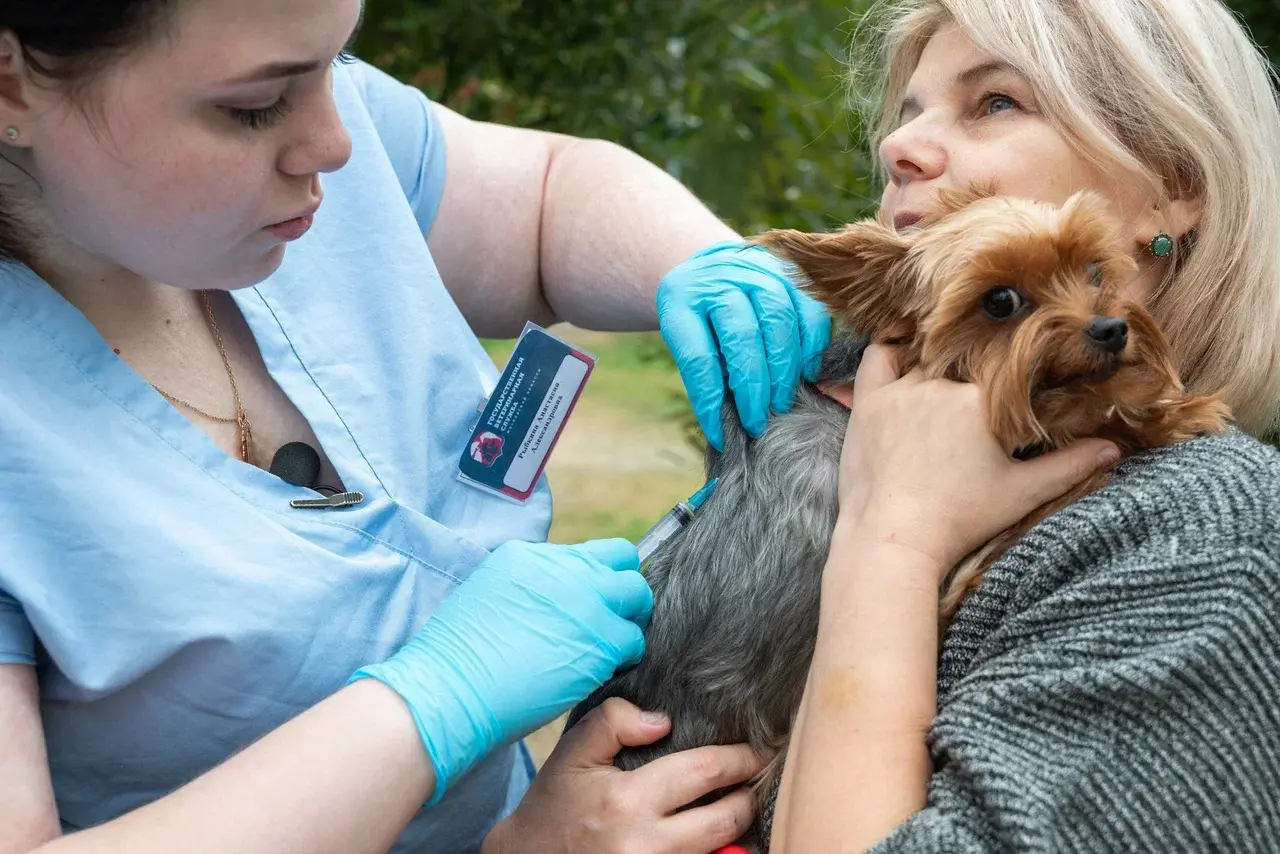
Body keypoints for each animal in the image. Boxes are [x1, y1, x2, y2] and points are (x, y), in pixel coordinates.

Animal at [565, 185, 1223, 850]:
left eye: (1094, 272)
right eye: (1001, 301)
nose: (1111, 328)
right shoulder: (957, 559)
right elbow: (1062, 450)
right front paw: (1161, 416)